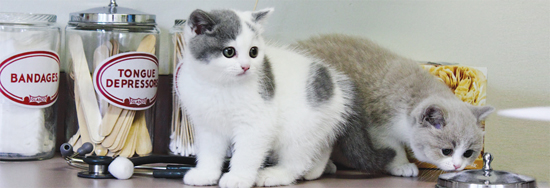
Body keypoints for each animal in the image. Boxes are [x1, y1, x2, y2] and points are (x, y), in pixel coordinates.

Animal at [177, 8, 384, 187]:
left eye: (253, 51)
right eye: (229, 52)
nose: (246, 66)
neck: (219, 86)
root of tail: (339, 82)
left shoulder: (257, 123)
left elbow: (246, 152)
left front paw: (238, 178)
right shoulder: (207, 125)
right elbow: (209, 151)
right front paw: (205, 174)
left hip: (300, 127)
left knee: (298, 158)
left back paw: (277, 174)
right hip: (320, 124)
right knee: (323, 144)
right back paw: (315, 170)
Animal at [296, 34, 498, 177]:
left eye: (468, 153)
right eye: (446, 151)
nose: (457, 166)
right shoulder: (377, 126)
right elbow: (394, 147)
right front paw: (402, 165)